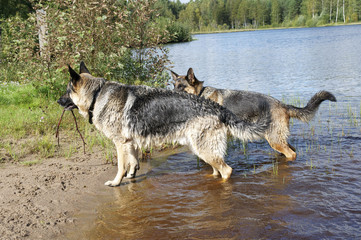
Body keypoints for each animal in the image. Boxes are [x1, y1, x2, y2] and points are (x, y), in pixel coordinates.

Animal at [57, 62, 270, 186]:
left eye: (66, 92)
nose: (58, 101)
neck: (97, 94)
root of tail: (217, 107)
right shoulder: (130, 143)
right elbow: (133, 161)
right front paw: (131, 175)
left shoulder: (120, 143)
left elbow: (120, 165)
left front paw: (117, 182)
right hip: (203, 149)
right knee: (217, 169)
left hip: (204, 149)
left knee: (227, 170)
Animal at [170, 68, 336, 160]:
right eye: (173, 86)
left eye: (181, 87)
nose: (170, 94)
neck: (200, 95)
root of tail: (283, 105)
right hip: (278, 138)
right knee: (291, 149)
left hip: (274, 139)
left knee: (291, 154)